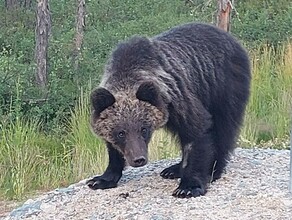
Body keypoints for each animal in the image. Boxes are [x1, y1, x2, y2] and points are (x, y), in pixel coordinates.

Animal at [86, 22, 251, 198]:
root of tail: (229, 37)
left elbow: (198, 130)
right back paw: (173, 169)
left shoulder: (178, 98)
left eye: (144, 129)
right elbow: (112, 149)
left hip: (223, 84)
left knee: (224, 127)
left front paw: (188, 186)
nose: (139, 159)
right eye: (121, 133)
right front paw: (101, 179)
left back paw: (213, 170)